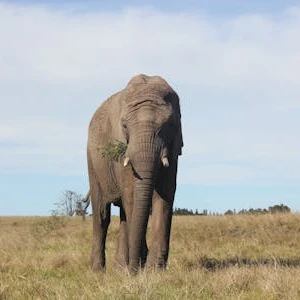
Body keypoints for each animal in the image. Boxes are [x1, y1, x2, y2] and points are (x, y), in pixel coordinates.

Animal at [86, 74, 183, 274]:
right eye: (124, 126)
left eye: (169, 125)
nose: (136, 268)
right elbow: (131, 195)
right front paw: (140, 268)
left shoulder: (173, 148)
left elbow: (165, 195)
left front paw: (154, 271)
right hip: (92, 160)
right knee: (102, 215)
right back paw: (99, 271)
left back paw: (120, 269)